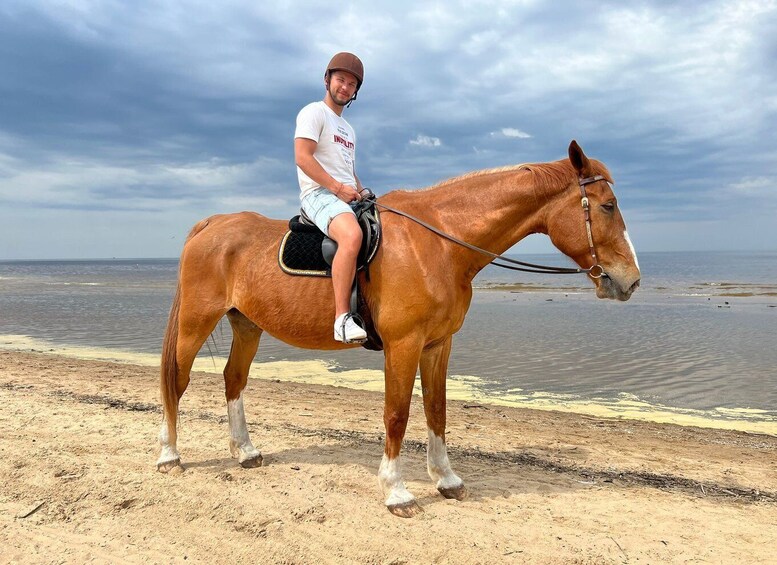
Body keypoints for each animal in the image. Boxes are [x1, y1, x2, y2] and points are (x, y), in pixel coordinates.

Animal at [156, 140, 636, 516]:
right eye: (608, 206)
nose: (630, 280)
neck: (439, 242)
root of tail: (213, 224)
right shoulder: (403, 346)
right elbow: (397, 414)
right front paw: (396, 490)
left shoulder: (438, 345)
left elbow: (437, 410)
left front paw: (446, 480)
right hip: (196, 322)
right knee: (176, 381)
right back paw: (169, 454)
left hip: (247, 326)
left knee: (233, 380)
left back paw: (245, 452)